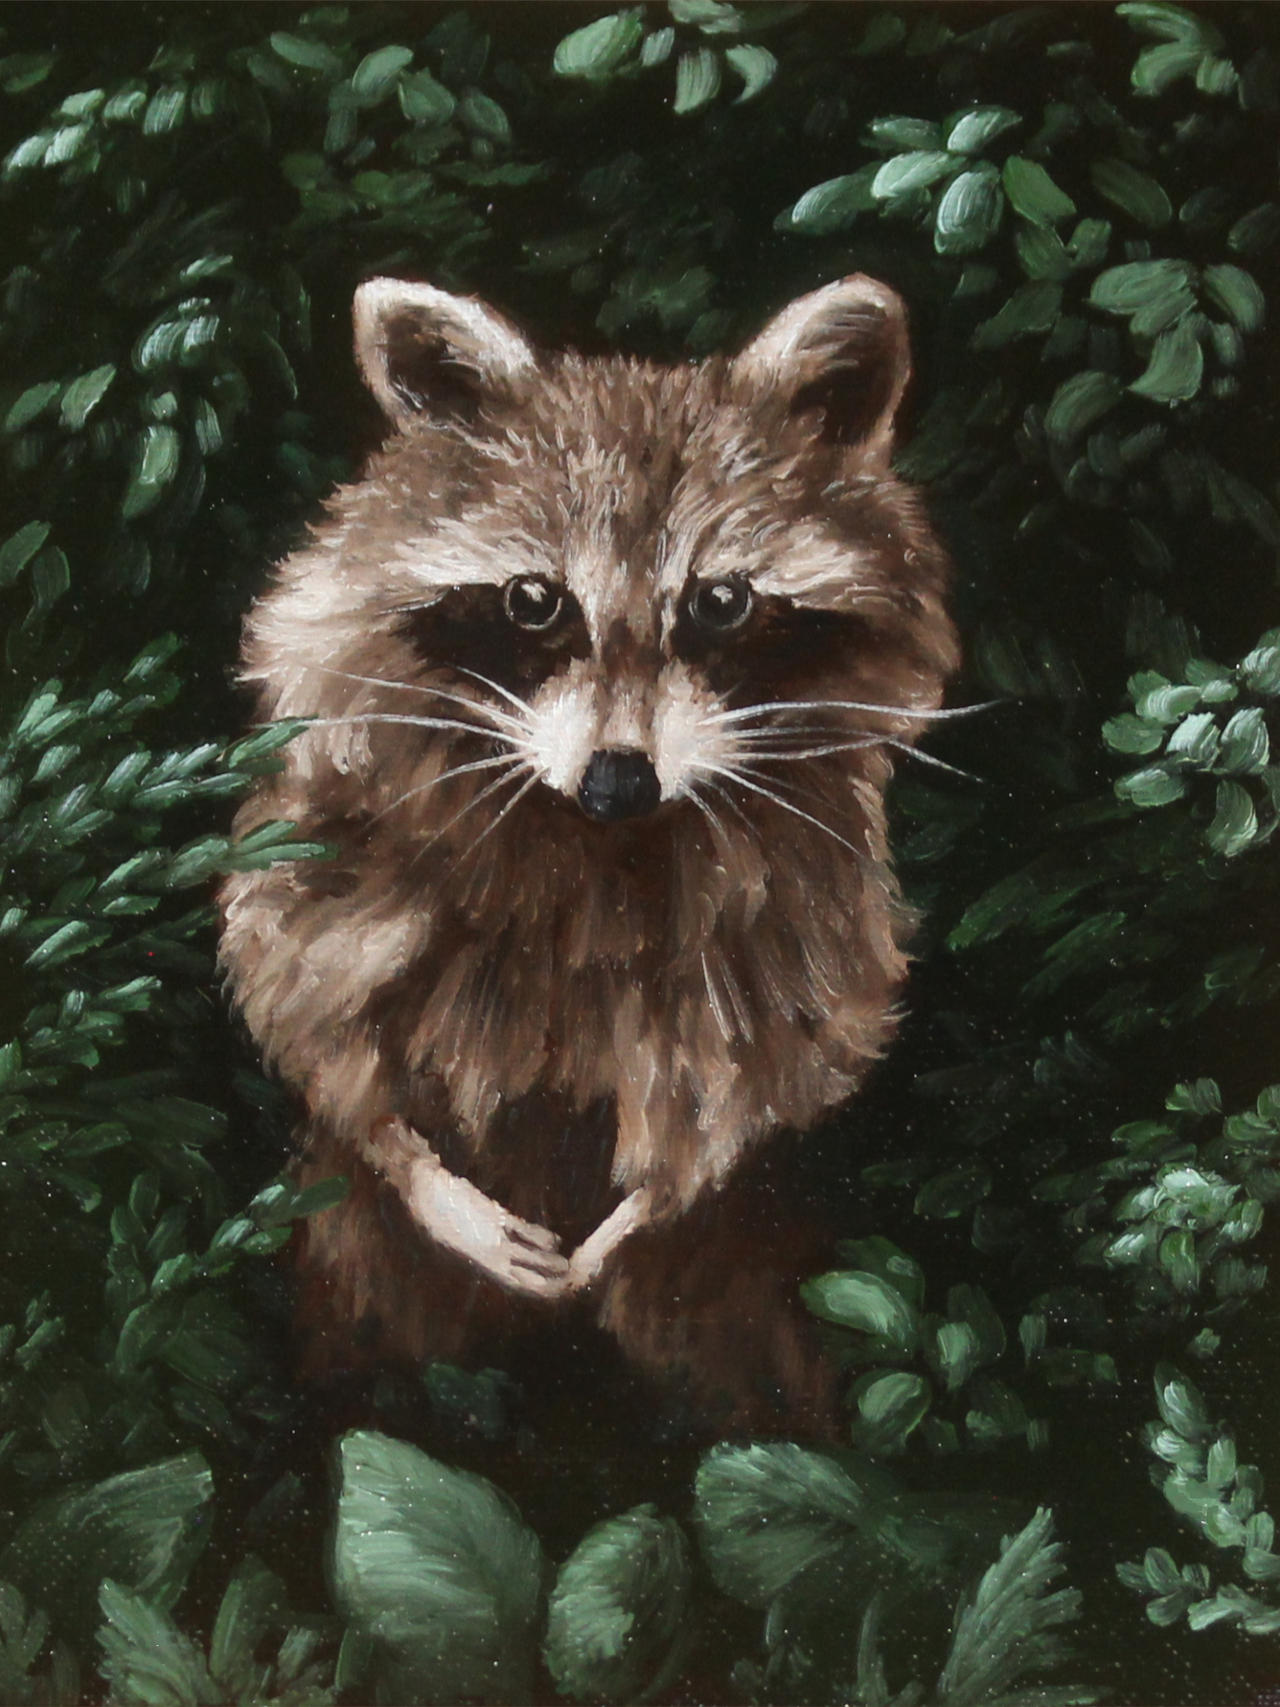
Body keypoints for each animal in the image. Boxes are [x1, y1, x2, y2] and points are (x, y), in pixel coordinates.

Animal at [217, 274, 958, 1434]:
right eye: (534, 600)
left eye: (719, 601)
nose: (619, 781)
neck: (602, 844)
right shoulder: (324, 837)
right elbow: (307, 1008)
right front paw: (425, 1175)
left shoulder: (819, 897)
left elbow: (780, 1060)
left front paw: (647, 1201)